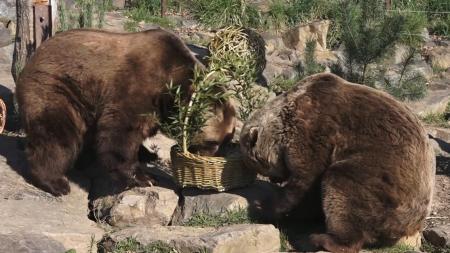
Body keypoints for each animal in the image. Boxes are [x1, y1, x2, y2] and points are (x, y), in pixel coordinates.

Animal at [16, 28, 236, 197]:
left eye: (227, 140)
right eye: (213, 142)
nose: (210, 158)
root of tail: (33, 57)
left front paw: (147, 155)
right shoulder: (137, 87)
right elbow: (121, 134)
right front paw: (145, 177)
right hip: (58, 87)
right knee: (57, 134)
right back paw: (55, 182)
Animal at [241, 72, 434, 253]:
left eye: (260, 166)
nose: (275, 179)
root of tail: (412, 224)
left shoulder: (314, 128)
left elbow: (305, 180)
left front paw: (264, 208)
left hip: (384, 179)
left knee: (342, 185)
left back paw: (321, 239)